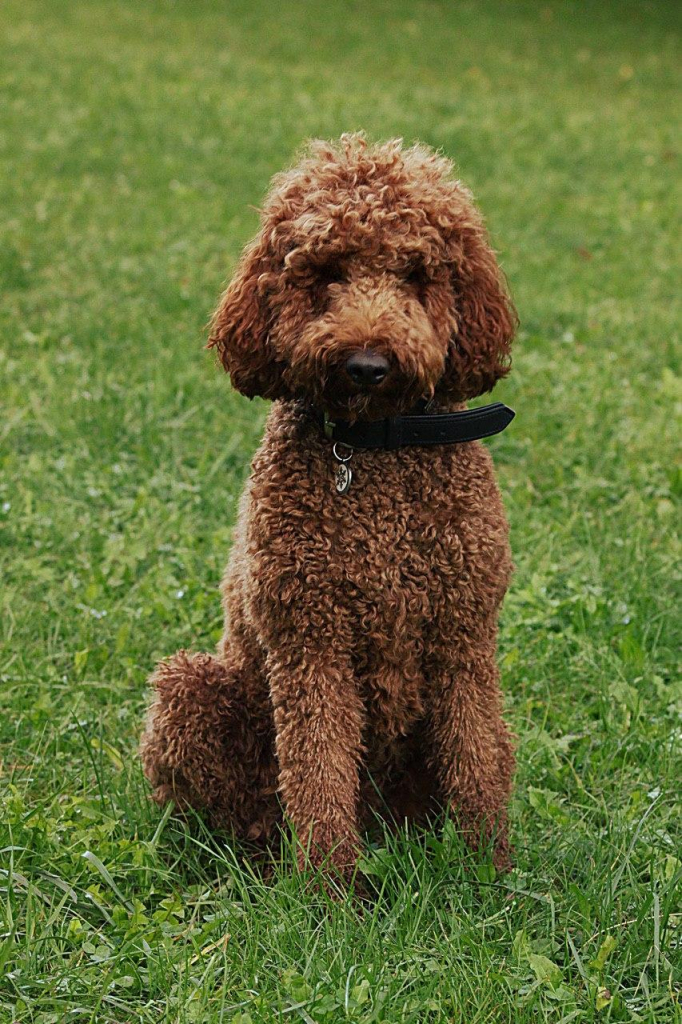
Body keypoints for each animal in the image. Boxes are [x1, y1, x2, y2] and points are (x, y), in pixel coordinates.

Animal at [142, 132, 516, 876]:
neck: (374, 452)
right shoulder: (310, 643)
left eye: (416, 274)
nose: (367, 365)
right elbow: (317, 773)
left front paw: (492, 873)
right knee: (250, 808)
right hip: (191, 693)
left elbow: (476, 761)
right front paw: (328, 889)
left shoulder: (463, 635)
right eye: (325, 273)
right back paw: (266, 867)